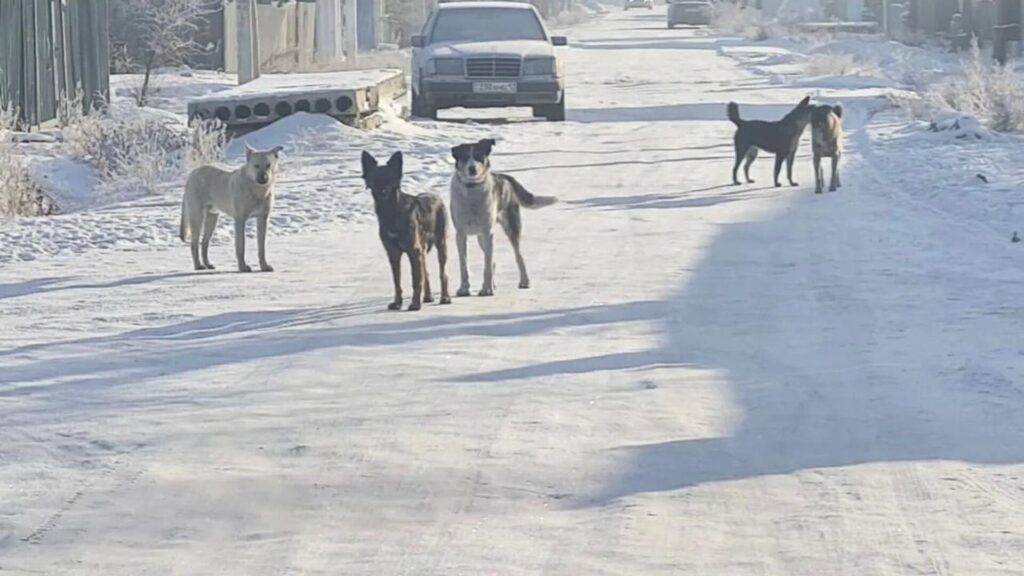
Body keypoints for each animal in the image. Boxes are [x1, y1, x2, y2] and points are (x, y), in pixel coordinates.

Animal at [179, 142, 282, 270]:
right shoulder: (240, 220)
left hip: (212, 218)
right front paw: (242, 267)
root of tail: (192, 174)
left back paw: (207, 264)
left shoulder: (263, 219)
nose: (263, 178)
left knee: (204, 243)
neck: (257, 191)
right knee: (194, 244)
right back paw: (198, 265)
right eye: (256, 166)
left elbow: (261, 248)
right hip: (197, 217)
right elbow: (241, 246)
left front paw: (264, 266)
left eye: (268, 165)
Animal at [364, 147, 452, 309]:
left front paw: (415, 304)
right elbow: (397, 280)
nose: (382, 191)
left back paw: (445, 297)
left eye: (389, 178)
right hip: (422, 249)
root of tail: (436, 197)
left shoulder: (413, 250)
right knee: (426, 272)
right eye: (375, 178)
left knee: (443, 273)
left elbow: (416, 280)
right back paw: (428, 296)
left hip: (441, 244)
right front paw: (397, 302)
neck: (391, 211)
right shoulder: (393, 253)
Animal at [450, 139, 557, 295]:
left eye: (479, 156)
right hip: (481, 237)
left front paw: (487, 289)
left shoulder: (488, 232)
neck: (472, 189)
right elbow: (464, 264)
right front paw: (464, 289)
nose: (472, 168)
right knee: (493, 260)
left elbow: (487, 264)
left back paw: (524, 281)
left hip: (511, 227)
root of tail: (504, 176)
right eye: (464, 157)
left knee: (518, 256)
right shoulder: (461, 234)